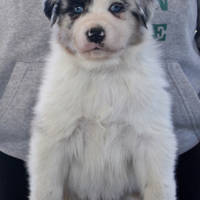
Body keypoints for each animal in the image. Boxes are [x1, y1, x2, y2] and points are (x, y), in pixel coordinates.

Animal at [27, 0, 177, 199]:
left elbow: (158, 186)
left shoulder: (150, 138)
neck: (102, 72)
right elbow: (47, 188)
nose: (95, 34)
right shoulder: (53, 138)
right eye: (77, 9)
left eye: (116, 7)